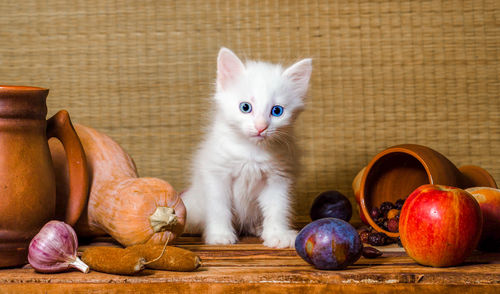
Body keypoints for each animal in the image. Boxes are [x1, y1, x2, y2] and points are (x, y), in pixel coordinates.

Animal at [182, 47, 310, 248]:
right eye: (245, 107)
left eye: (277, 111)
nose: (261, 127)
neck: (252, 152)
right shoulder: (217, 175)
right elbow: (219, 207)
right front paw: (219, 235)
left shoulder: (278, 178)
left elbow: (278, 208)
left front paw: (278, 234)